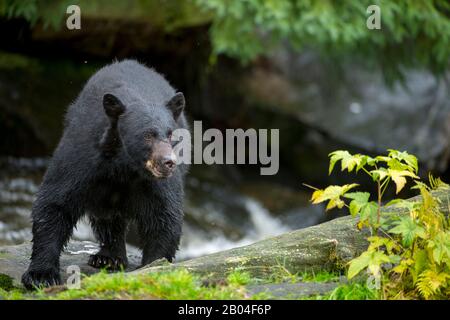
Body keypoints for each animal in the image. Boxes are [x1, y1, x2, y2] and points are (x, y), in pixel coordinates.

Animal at [21, 58, 188, 288]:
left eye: (171, 134)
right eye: (147, 135)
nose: (168, 162)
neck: (124, 167)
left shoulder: (155, 183)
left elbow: (164, 215)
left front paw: (154, 265)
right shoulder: (83, 159)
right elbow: (56, 202)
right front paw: (41, 275)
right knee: (107, 216)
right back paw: (109, 257)